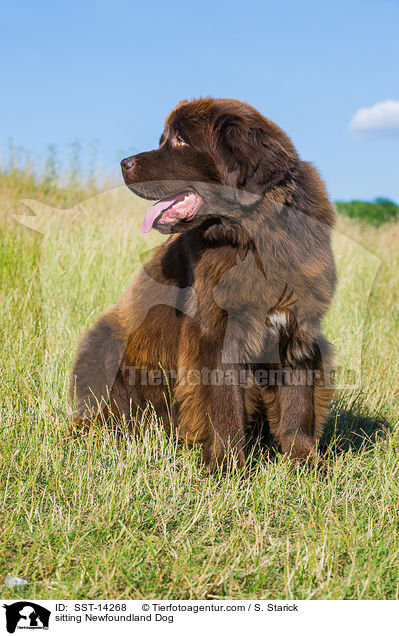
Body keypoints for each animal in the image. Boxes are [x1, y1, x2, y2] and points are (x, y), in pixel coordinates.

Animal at [69, 97, 338, 470]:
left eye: (181, 141)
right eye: (164, 138)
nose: (124, 163)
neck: (250, 237)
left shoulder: (297, 330)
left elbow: (298, 404)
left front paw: (304, 461)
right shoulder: (216, 333)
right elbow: (225, 403)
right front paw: (228, 465)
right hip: (105, 340)